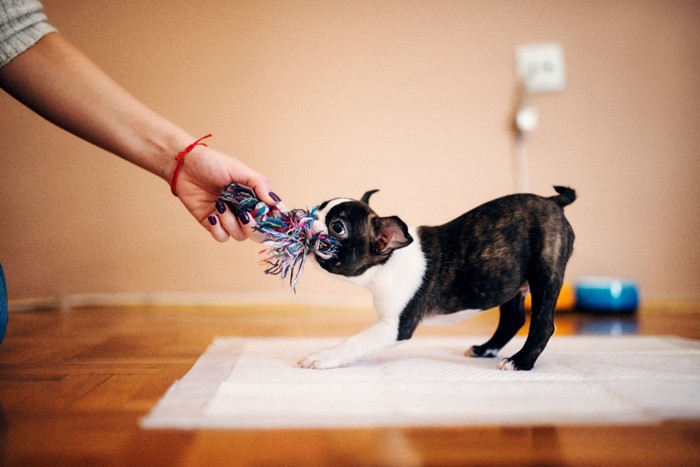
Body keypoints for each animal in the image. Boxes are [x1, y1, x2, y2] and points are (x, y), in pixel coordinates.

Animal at [298, 186, 576, 372]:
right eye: (319, 207)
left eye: (337, 227)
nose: (308, 217)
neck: (387, 263)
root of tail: (552, 201)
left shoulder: (393, 327)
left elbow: (354, 342)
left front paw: (320, 357)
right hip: (509, 281)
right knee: (513, 318)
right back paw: (485, 349)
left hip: (544, 272)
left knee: (543, 324)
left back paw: (520, 361)